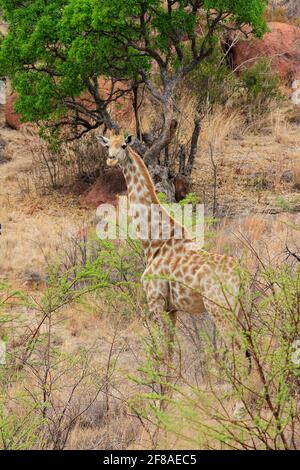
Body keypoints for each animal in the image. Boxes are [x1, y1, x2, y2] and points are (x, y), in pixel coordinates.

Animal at [98, 132, 258, 414]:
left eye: (124, 145)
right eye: (108, 145)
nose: (110, 159)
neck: (154, 242)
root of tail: (242, 276)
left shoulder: (155, 301)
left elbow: (161, 353)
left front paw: (159, 406)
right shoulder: (172, 309)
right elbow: (171, 353)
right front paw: (166, 401)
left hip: (221, 310)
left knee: (238, 351)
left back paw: (239, 407)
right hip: (241, 312)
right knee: (251, 350)